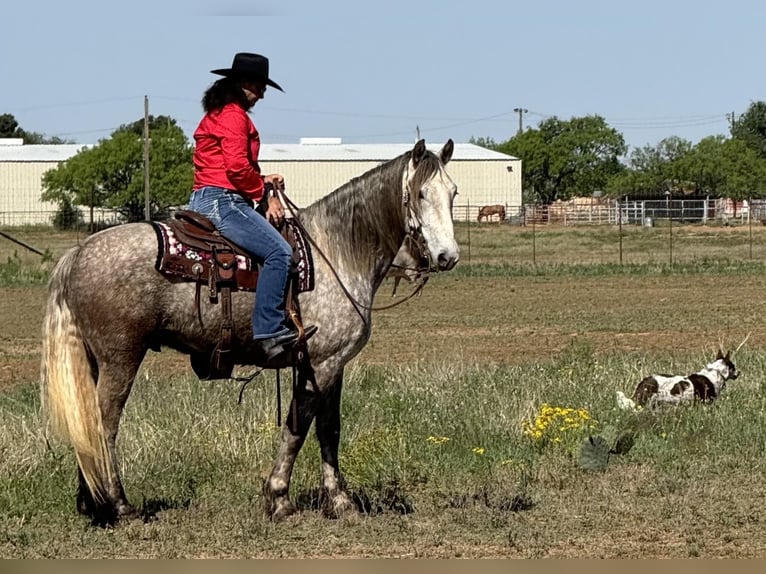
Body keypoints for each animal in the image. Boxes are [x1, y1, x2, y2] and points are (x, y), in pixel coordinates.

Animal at [42, 138, 460, 528]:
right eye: (420, 193)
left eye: (453, 192)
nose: (447, 256)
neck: (337, 250)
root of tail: (79, 253)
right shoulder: (318, 363)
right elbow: (297, 428)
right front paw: (279, 499)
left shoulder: (334, 366)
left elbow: (330, 431)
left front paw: (341, 503)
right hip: (121, 358)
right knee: (104, 424)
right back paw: (120, 506)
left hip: (96, 361)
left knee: (87, 425)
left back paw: (92, 503)